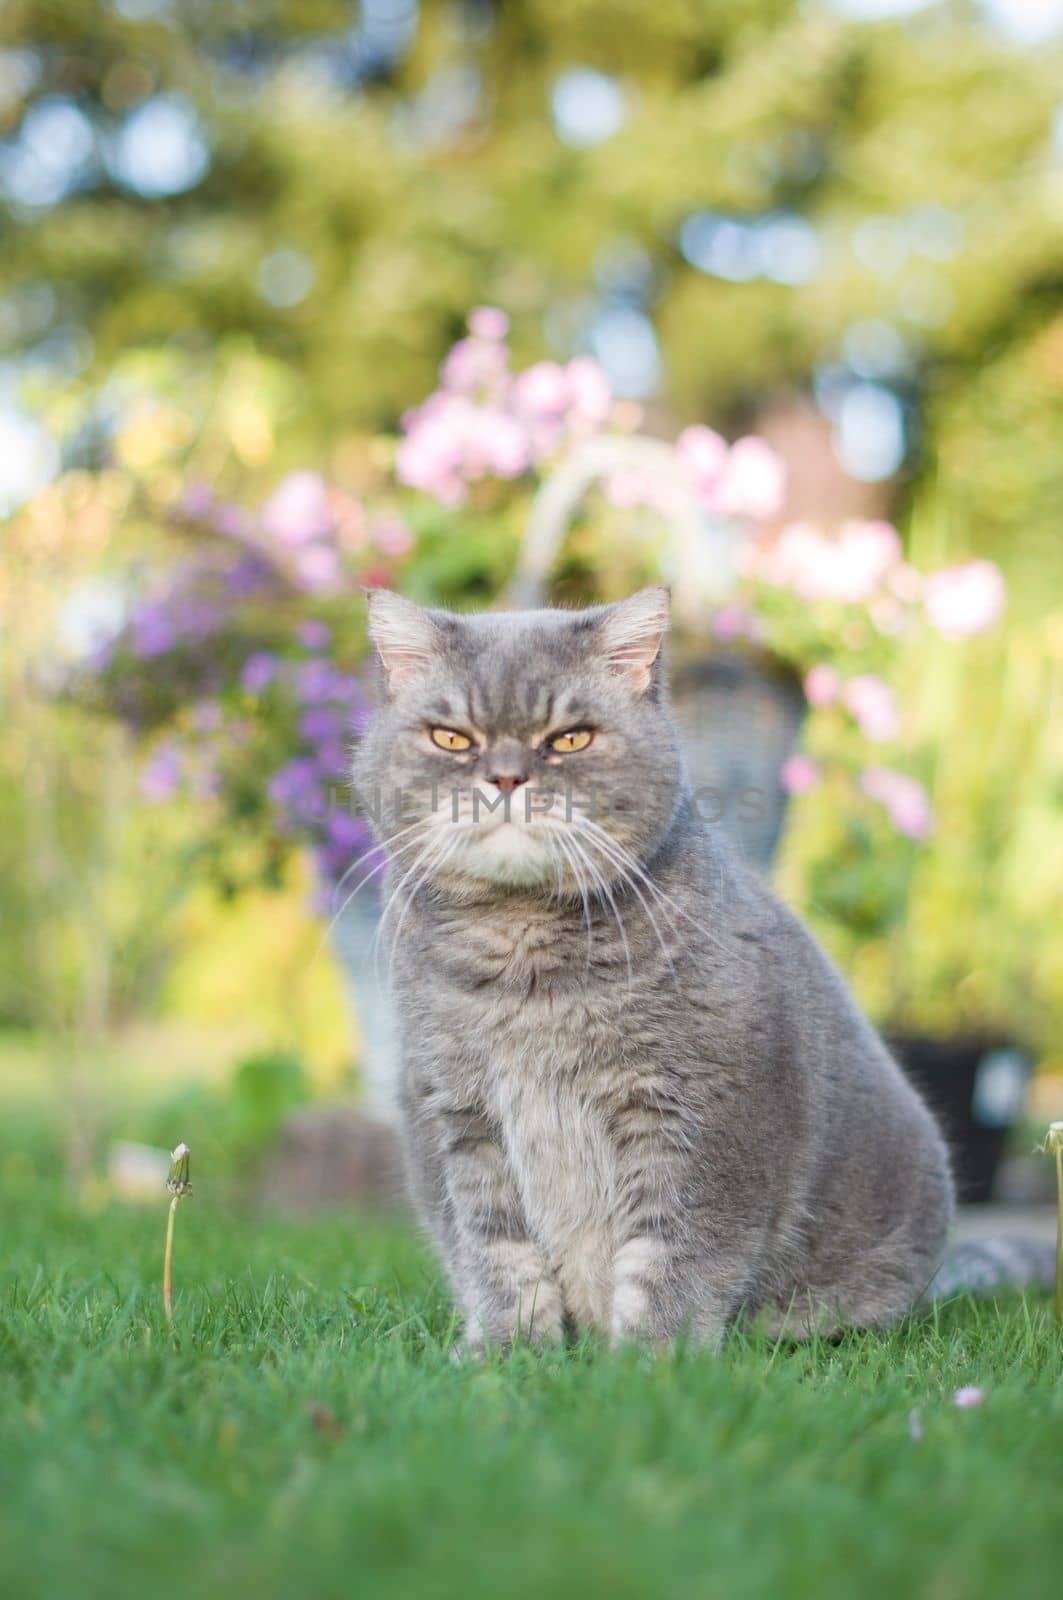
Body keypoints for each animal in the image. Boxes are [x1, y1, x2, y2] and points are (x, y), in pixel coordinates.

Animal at [350, 588, 1024, 1350]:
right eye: (452, 739)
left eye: (571, 739)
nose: (505, 777)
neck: (525, 967)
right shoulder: (459, 1118)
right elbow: (495, 1250)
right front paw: (507, 1349)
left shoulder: (701, 1116)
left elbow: (679, 1250)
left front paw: (651, 1356)